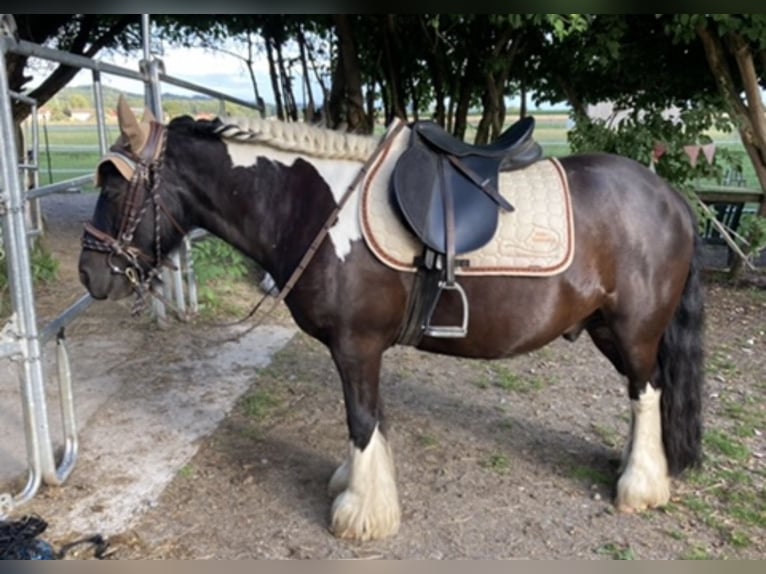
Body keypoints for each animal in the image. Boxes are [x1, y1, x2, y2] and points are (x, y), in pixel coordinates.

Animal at [78, 97, 704, 542]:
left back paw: (639, 486)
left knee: (646, 391)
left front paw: (360, 513)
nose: (91, 274)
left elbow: (361, 420)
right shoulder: (359, 350)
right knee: (645, 390)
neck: (316, 208)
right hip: (604, 327)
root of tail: (670, 195)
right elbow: (371, 420)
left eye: (113, 185)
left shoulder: (355, 346)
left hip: (634, 330)